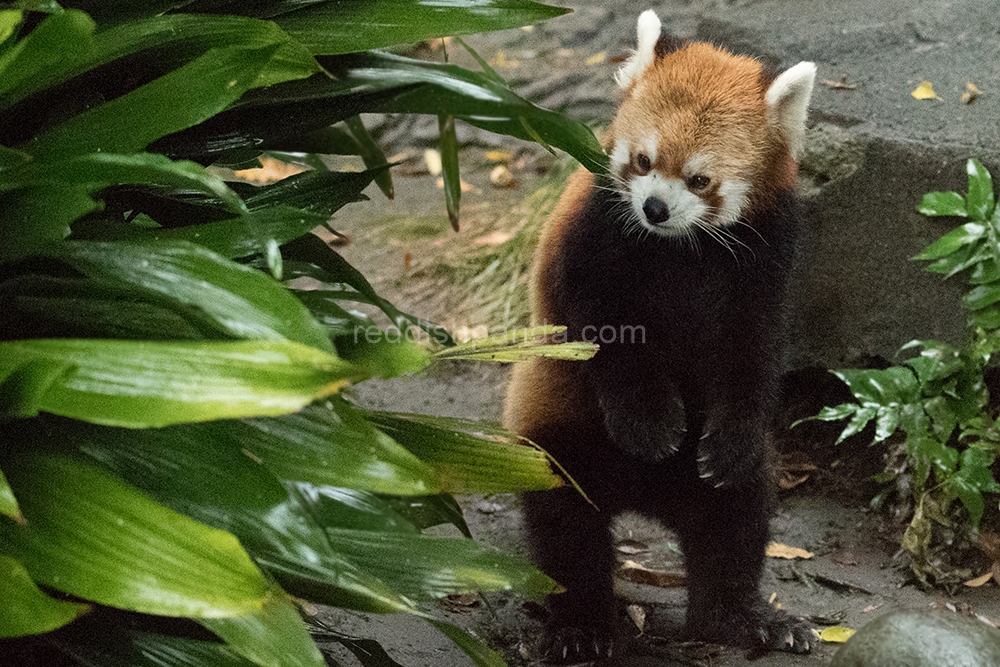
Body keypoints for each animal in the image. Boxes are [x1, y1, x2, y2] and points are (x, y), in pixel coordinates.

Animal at [504, 9, 816, 664]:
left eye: (699, 179)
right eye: (643, 162)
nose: (653, 208)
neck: (681, 249)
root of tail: (645, 499)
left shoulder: (768, 253)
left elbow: (753, 352)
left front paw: (726, 438)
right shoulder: (592, 236)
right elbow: (607, 333)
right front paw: (650, 425)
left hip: (727, 479)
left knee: (736, 520)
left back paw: (741, 618)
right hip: (561, 441)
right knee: (567, 533)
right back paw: (582, 625)